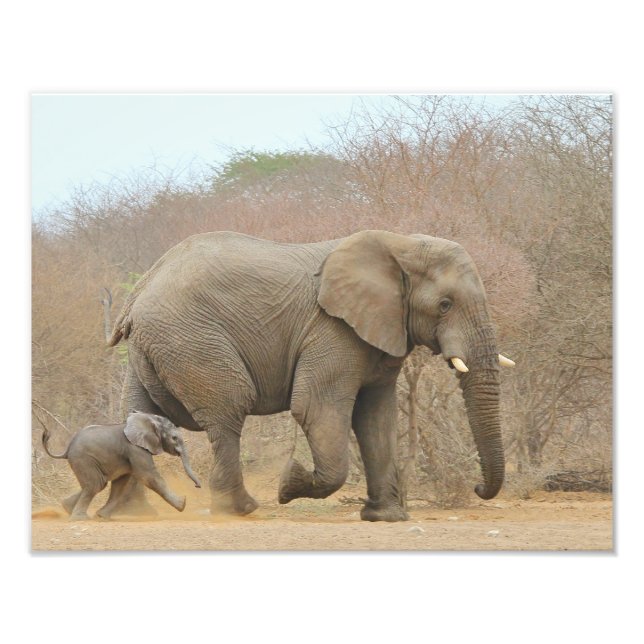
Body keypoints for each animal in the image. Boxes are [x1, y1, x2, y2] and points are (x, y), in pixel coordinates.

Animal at [40, 411, 201, 520]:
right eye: (174, 438)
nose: (197, 486)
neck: (150, 419)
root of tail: (67, 450)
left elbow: (121, 482)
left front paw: (102, 516)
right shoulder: (135, 447)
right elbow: (148, 476)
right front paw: (183, 504)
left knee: (96, 484)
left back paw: (66, 508)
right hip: (84, 459)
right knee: (95, 485)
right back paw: (80, 518)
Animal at [108, 230, 514, 522]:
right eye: (445, 305)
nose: (478, 487)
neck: (399, 244)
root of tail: (140, 289)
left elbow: (377, 418)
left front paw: (385, 518)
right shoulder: (332, 330)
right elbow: (316, 409)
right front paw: (289, 483)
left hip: (154, 347)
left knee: (137, 415)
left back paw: (132, 513)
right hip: (191, 340)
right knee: (229, 411)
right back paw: (240, 509)